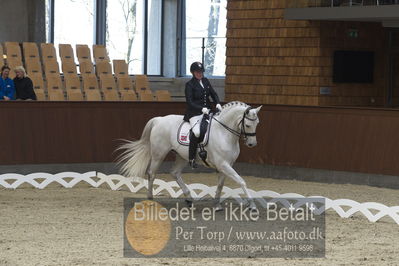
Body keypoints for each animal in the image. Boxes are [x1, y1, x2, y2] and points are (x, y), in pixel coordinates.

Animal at [118, 101, 262, 209]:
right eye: (248, 125)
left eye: (257, 123)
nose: (252, 143)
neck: (224, 132)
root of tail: (159, 120)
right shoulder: (223, 164)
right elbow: (241, 181)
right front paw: (252, 205)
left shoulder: (226, 165)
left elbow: (221, 185)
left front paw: (216, 205)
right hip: (159, 154)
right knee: (151, 174)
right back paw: (150, 199)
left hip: (182, 156)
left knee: (175, 173)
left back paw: (189, 198)